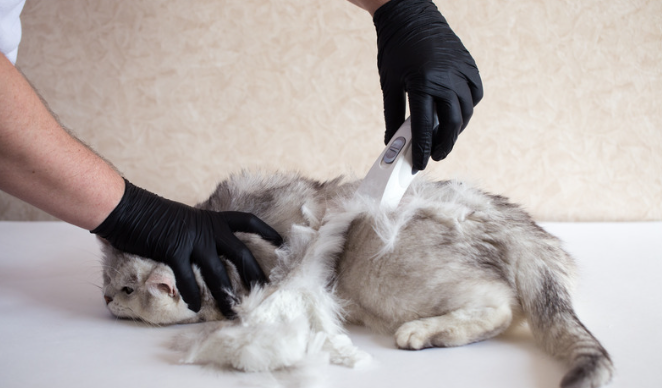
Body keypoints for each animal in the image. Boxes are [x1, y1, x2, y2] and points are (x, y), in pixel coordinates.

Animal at [100, 171, 616, 388]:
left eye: (126, 290)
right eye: (107, 283)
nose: (105, 300)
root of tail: (519, 230)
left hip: (394, 278)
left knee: (499, 307)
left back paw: (423, 333)